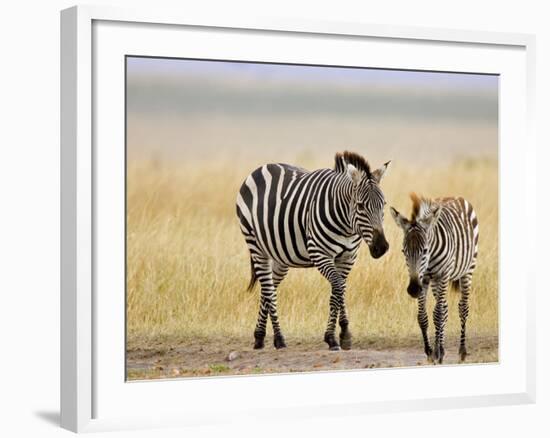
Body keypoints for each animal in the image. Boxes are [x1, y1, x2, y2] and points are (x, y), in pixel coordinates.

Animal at [237, 152, 392, 350]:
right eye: (360, 206)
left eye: (384, 205)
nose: (381, 247)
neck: (347, 226)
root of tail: (262, 167)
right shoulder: (320, 254)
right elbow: (338, 288)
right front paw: (334, 337)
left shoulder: (348, 257)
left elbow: (340, 290)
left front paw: (342, 334)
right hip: (256, 245)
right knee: (269, 290)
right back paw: (279, 338)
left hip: (280, 256)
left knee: (267, 288)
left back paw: (259, 336)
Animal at [392, 194, 478, 362]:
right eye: (404, 251)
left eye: (425, 250)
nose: (413, 289)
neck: (429, 259)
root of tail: (455, 197)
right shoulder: (424, 278)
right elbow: (423, 316)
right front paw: (430, 351)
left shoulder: (443, 274)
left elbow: (438, 314)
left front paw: (437, 352)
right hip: (435, 282)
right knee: (444, 307)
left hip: (467, 269)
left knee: (462, 308)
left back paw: (462, 351)